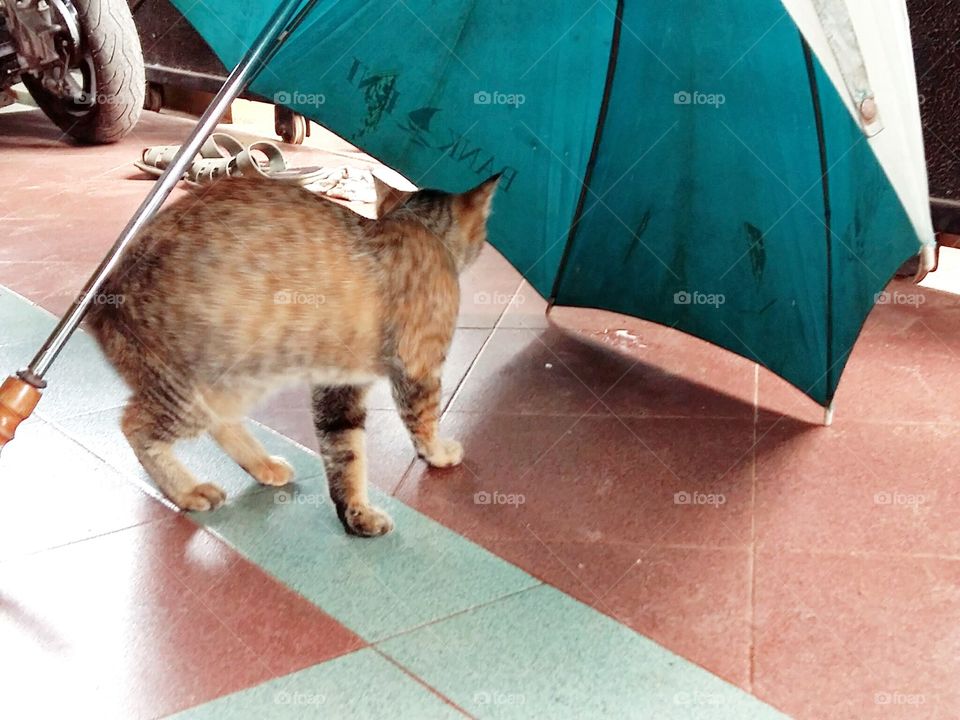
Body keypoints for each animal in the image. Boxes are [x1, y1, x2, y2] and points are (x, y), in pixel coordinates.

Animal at [88, 173, 502, 536]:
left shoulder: (339, 386)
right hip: (191, 388)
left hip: (240, 378)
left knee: (221, 423)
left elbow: (343, 453)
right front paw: (438, 454)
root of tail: (102, 292)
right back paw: (187, 491)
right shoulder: (418, 368)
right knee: (135, 424)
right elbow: (423, 423)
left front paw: (355, 515)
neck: (418, 227)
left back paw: (262, 465)